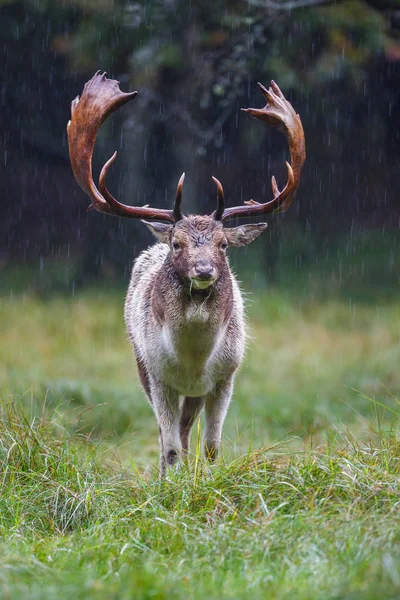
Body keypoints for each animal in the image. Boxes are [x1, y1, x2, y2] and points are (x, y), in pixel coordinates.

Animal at [66, 71, 306, 474]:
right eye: (177, 244)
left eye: (223, 245)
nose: (204, 269)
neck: (194, 361)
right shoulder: (157, 375)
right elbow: (169, 446)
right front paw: (170, 482)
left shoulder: (226, 376)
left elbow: (211, 445)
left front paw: (208, 478)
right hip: (140, 363)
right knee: (172, 433)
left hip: (196, 391)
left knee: (187, 427)